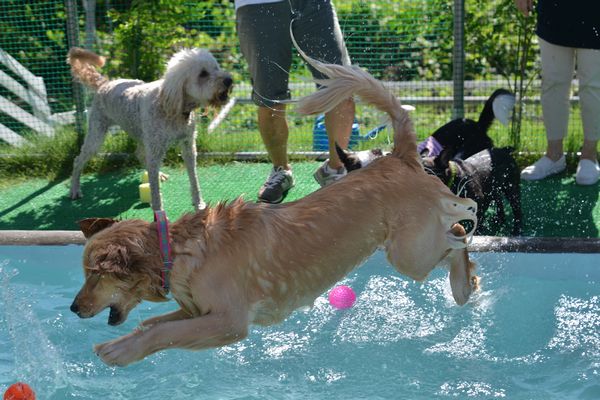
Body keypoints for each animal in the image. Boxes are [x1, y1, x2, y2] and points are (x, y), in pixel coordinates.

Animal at [67, 48, 233, 211]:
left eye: (216, 67)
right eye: (203, 74)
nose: (229, 80)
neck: (173, 108)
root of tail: (104, 84)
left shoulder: (188, 146)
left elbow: (193, 178)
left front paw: (199, 204)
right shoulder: (155, 148)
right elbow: (155, 190)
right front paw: (158, 212)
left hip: (142, 136)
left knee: (140, 154)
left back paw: (159, 174)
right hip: (96, 137)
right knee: (77, 160)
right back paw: (74, 189)